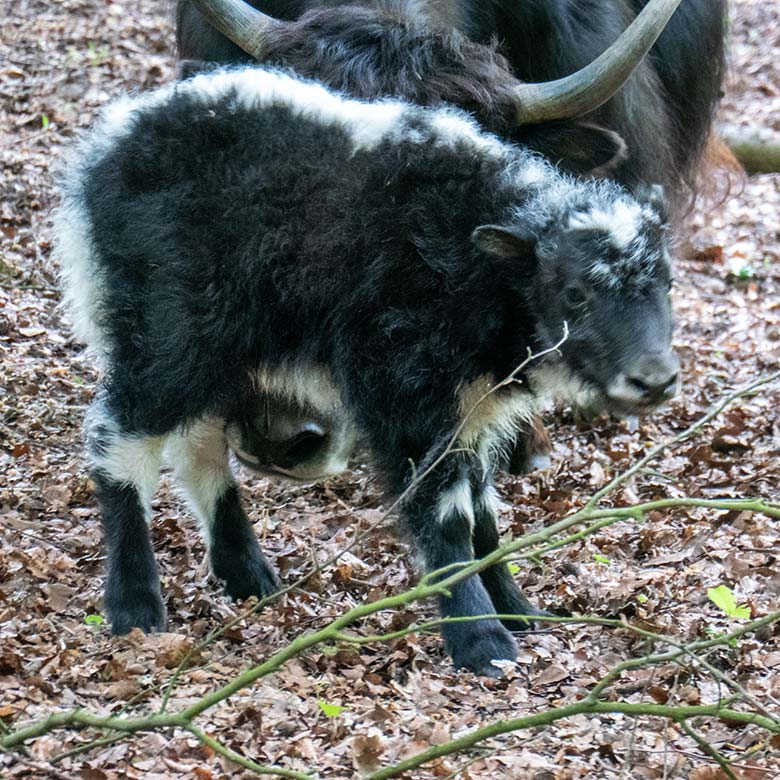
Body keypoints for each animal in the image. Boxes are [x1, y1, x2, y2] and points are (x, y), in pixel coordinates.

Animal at [56, 65, 676, 676]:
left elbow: (483, 507)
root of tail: (108, 143)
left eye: (667, 283)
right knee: (121, 436)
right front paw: (482, 641)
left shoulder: (474, 409)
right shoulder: (407, 393)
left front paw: (518, 609)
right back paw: (135, 605)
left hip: (220, 348)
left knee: (196, 439)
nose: (656, 381)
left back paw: (247, 576)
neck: (476, 256)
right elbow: (447, 512)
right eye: (574, 293)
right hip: (167, 330)